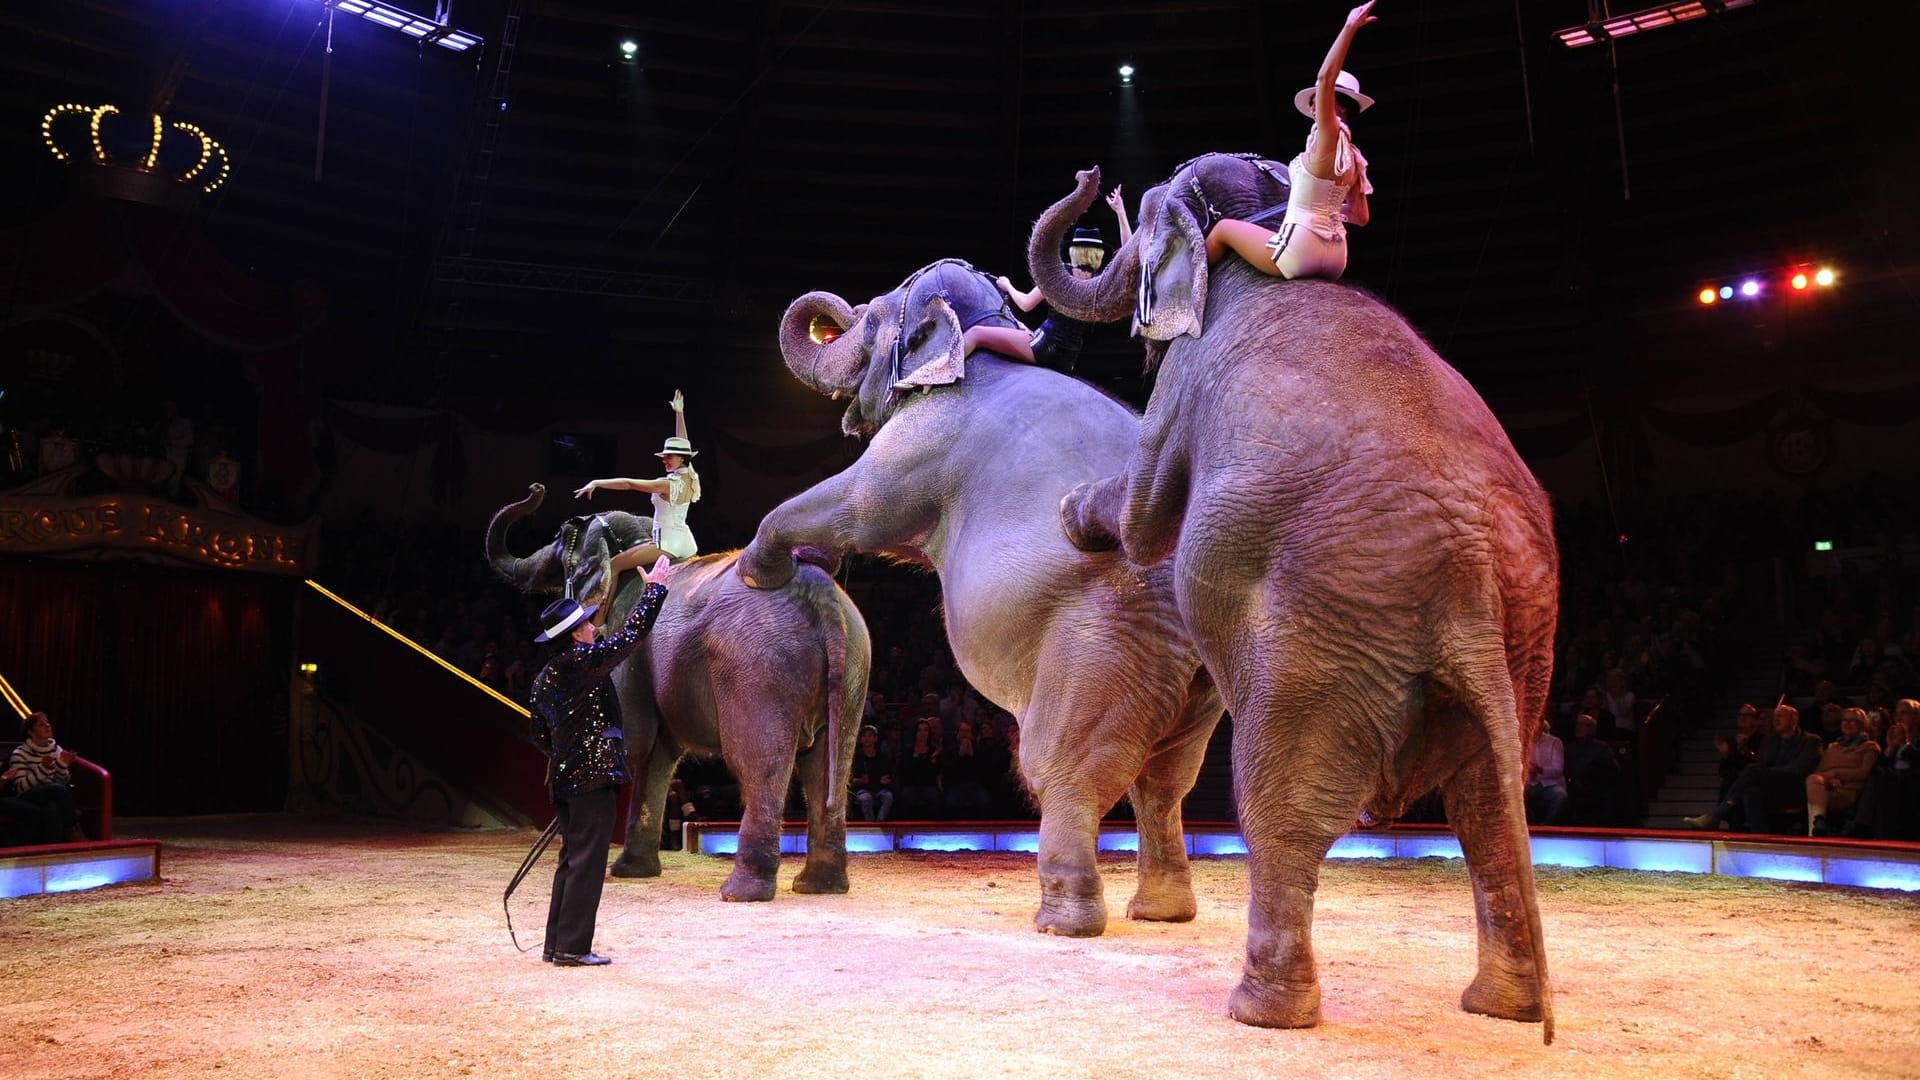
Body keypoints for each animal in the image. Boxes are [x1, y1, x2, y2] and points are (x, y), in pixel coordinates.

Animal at [487, 480, 871, 899]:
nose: (536, 488)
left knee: (759, 765)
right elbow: (658, 754)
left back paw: (740, 893)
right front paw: (632, 872)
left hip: (761, 668)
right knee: (831, 766)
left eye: (560, 542)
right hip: (853, 667)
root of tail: (823, 595)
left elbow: (634, 740)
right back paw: (819, 886)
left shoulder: (626, 650)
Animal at [741, 259, 1221, 933]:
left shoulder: (923, 441)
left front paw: (758, 570)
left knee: (1067, 766)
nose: (837, 316)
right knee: (1165, 780)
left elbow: (858, 504)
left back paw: (1063, 922)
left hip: (1102, 644)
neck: (980, 344)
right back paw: (1161, 913)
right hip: (1195, 683)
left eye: (870, 317)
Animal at [1036, 166, 1559, 1037]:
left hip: (1323, 638)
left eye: (1141, 224)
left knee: (1281, 807)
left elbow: (1146, 517)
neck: (1260, 218)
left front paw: (1074, 515)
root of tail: (1472, 565)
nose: (1089, 182)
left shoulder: (1180, 385)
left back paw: (1260, 1010)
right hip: (1526, 644)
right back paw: (1502, 1008)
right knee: (1489, 806)